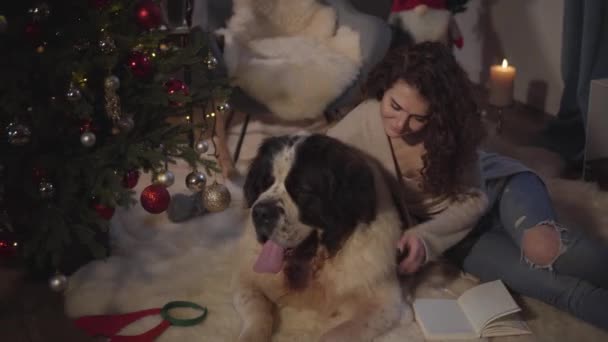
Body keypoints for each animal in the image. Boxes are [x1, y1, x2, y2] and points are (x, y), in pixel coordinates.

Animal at [234, 132, 414, 340]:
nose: (261, 212)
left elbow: (334, 334)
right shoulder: (247, 277)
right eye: (264, 184)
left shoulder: (386, 304)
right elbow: (257, 311)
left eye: (302, 190)